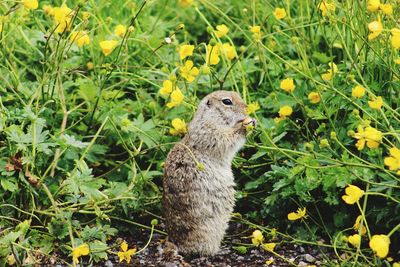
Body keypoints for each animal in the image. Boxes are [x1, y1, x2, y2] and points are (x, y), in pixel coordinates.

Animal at [162, 91, 256, 256]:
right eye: (227, 101)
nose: (247, 109)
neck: (210, 118)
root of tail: (176, 244)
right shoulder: (209, 133)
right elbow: (225, 140)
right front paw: (244, 125)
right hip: (210, 230)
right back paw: (220, 250)